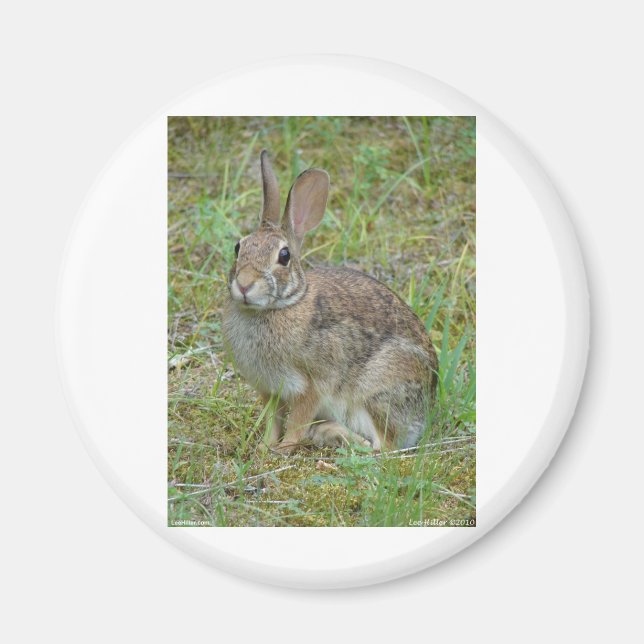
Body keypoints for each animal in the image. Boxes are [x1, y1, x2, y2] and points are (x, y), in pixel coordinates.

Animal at [223, 150, 438, 454]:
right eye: (238, 247)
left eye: (284, 256)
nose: (243, 284)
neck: (280, 306)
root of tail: (425, 411)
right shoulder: (270, 390)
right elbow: (273, 421)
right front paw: (264, 448)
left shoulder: (311, 385)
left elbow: (296, 423)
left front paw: (283, 449)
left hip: (376, 391)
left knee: (381, 447)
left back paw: (328, 432)